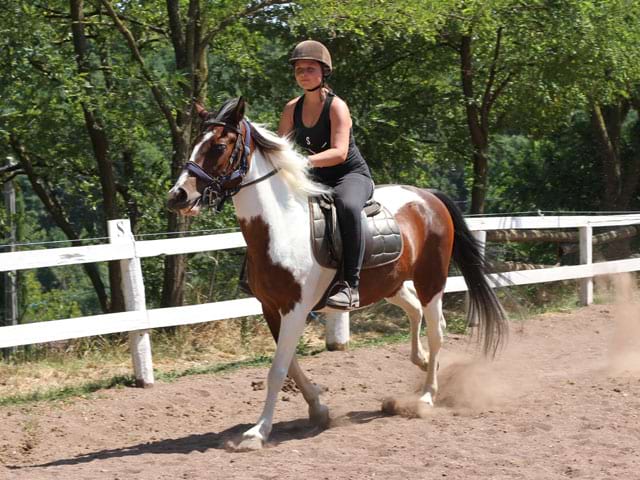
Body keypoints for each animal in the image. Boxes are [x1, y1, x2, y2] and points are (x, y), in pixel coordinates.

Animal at [168, 96, 508, 450]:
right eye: (196, 143)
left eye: (219, 146)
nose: (177, 196)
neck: (280, 225)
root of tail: (427, 196)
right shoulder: (272, 308)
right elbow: (290, 366)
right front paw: (318, 409)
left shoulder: (295, 309)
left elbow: (277, 371)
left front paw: (257, 432)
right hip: (392, 284)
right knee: (415, 311)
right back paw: (423, 361)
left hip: (432, 280)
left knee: (436, 329)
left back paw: (427, 397)